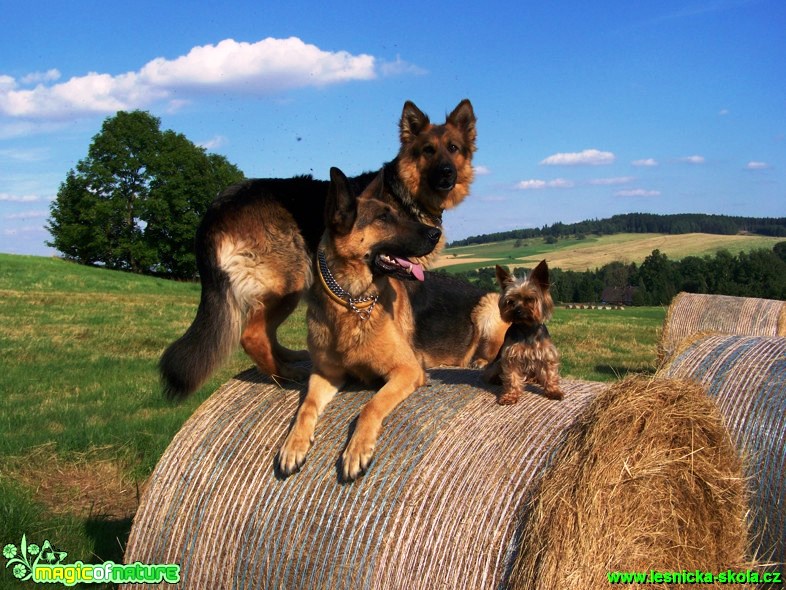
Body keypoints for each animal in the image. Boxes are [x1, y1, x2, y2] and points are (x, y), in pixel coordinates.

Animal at [159, 99, 474, 400]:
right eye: (428, 150)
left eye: (453, 148)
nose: (447, 174)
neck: (404, 189)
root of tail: (216, 209)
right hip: (291, 280)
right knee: (252, 334)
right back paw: (285, 374)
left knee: (266, 331)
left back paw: (290, 357)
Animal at [278, 166, 506, 480]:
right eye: (383, 219)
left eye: (396, 214)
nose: (436, 233)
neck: (352, 302)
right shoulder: (325, 374)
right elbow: (306, 407)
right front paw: (293, 445)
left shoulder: (406, 370)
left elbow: (370, 406)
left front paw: (357, 449)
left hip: (489, 307)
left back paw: (480, 363)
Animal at [480, 264, 560, 408]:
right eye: (510, 301)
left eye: (529, 299)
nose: (517, 311)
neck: (526, 328)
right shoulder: (511, 356)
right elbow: (512, 378)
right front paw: (510, 396)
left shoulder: (547, 354)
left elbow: (550, 373)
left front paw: (553, 391)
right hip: (497, 363)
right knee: (492, 372)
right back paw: (496, 379)